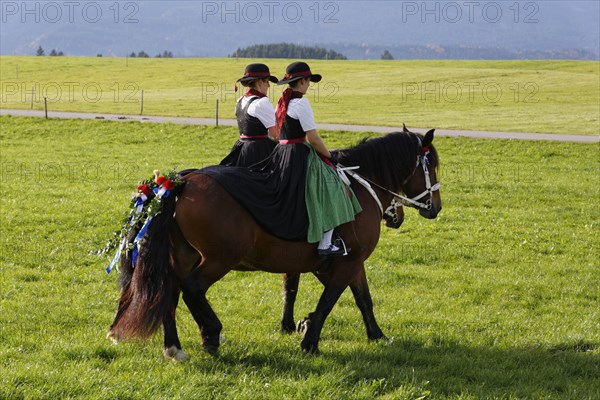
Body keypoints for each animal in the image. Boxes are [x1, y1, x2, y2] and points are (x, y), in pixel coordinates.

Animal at [108, 126, 440, 358]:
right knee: (192, 288)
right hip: (217, 259)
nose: (435, 207)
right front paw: (309, 339)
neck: (361, 188)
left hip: (184, 256)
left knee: (171, 291)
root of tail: (180, 183)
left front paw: (376, 334)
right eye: (432, 166)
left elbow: (362, 299)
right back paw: (211, 333)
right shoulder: (345, 262)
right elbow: (329, 300)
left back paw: (174, 347)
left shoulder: (347, 262)